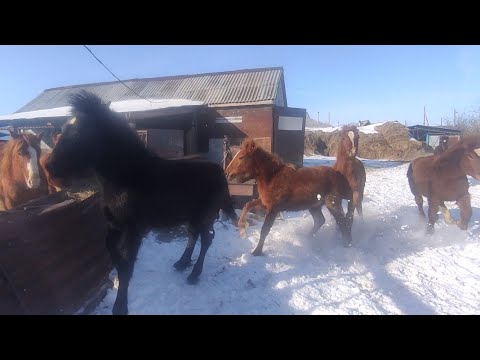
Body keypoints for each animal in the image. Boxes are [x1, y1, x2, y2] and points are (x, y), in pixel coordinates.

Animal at [46, 90, 237, 316]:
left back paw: (194, 275)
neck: (127, 177)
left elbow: (127, 266)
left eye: (79, 132)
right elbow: (113, 253)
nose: (49, 167)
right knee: (194, 235)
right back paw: (182, 263)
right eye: (63, 129)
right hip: (191, 216)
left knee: (206, 239)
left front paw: (121, 306)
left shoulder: (133, 229)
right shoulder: (114, 225)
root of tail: (219, 171)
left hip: (202, 215)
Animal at [224, 138, 352, 256]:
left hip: (332, 203)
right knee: (320, 220)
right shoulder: (264, 202)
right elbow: (247, 205)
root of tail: (338, 174)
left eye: (241, 157)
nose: (227, 173)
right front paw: (241, 228)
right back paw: (308, 238)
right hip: (314, 206)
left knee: (343, 222)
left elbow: (265, 230)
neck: (271, 177)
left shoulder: (273, 208)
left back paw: (346, 245)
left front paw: (257, 251)